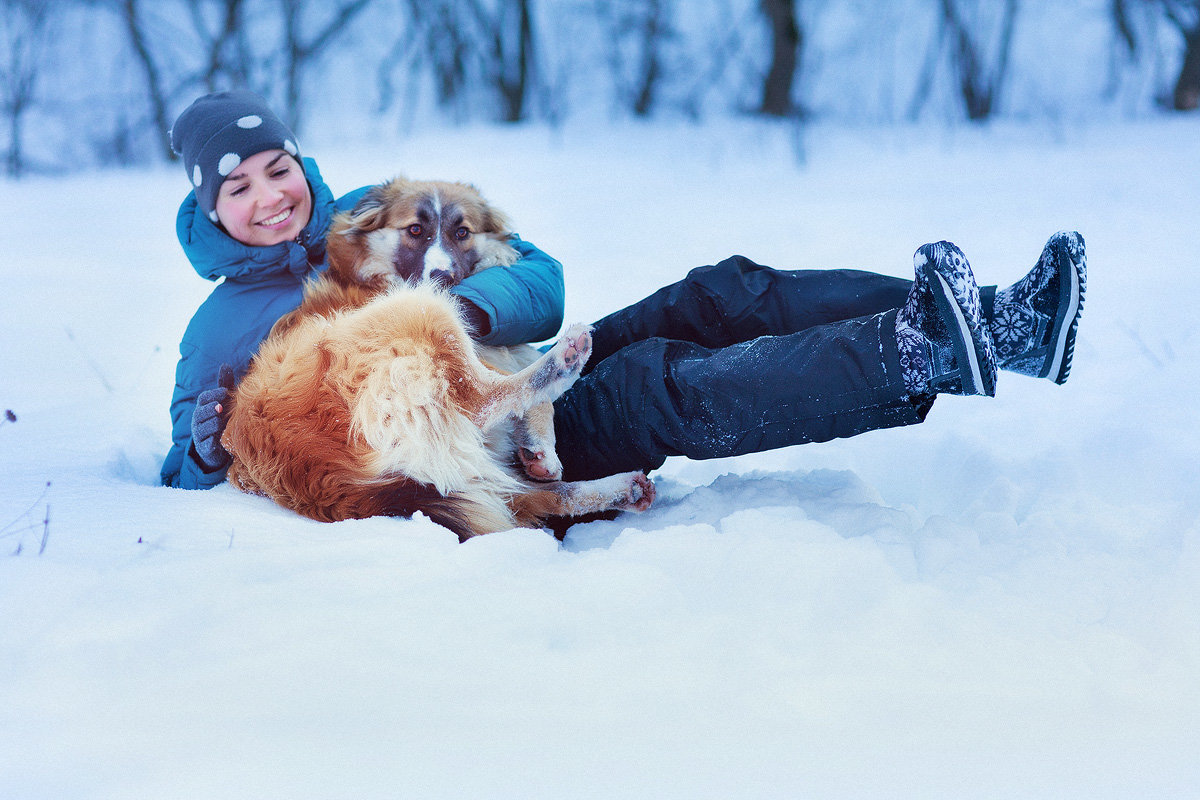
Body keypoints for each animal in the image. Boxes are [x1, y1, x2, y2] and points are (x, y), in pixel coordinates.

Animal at [223, 178, 657, 542]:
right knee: (482, 400)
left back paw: (624, 488)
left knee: (530, 496)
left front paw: (539, 452)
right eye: (415, 230)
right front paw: (542, 449)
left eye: (461, 232)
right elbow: (531, 398)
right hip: (421, 312)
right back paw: (565, 359)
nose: (442, 276)